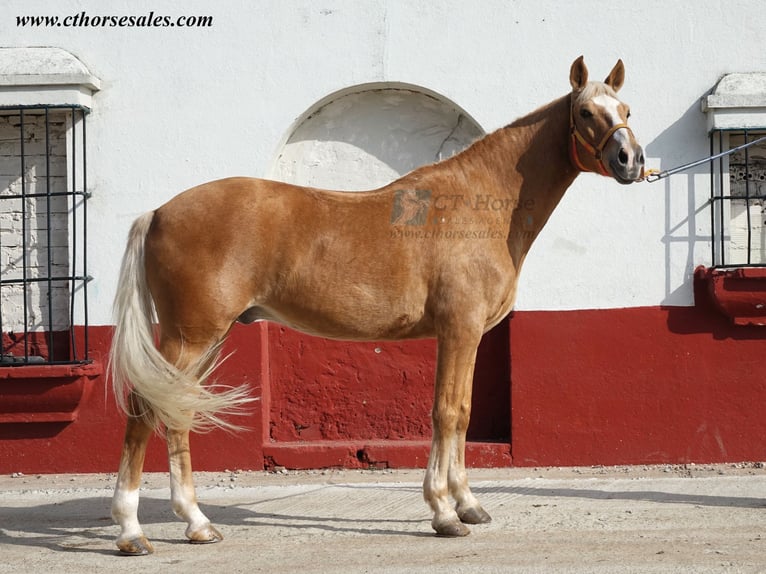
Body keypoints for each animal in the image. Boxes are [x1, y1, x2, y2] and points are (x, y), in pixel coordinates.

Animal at [111, 56, 644, 556]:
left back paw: (197, 524)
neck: (480, 204)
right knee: (143, 410)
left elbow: (464, 412)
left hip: (205, 339)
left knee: (176, 414)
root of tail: (157, 212)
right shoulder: (459, 329)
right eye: (585, 112)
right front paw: (444, 512)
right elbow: (446, 412)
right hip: (188, 336)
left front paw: (469, 505)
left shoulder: (470, 335)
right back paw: (132, 531)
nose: (630, 159)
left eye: (627, 110)